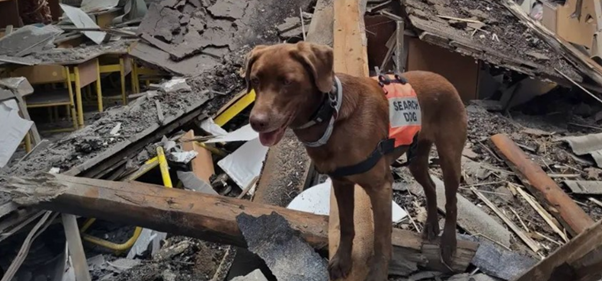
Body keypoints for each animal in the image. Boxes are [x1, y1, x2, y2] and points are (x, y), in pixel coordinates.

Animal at [244, 42, 464, 280]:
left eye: (287, 81)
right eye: (255, 80)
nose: (256, 122)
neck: (332, 117)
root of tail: (445, 80)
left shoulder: (380, 187)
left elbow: (381, 240)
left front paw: (377, 274)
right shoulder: (341, 183)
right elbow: (347, 226)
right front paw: (342, 260)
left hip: (450, 157)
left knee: (451, 201)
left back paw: (449, 243)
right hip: (417, 158)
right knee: (431, 186)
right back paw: (432, 225)